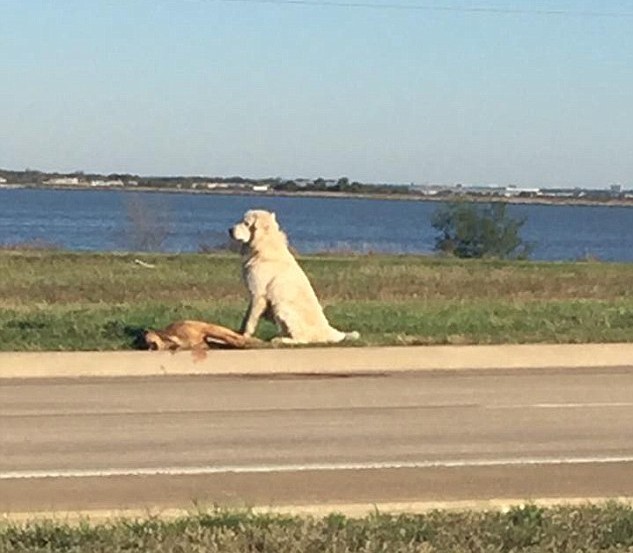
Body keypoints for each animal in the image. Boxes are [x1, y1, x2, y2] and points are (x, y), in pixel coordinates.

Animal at [228, 209, 358, 342]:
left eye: (246, 223)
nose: (230, 230)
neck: (264, 245)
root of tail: (328, 331)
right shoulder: (254, 295)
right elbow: (246, 317)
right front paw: (237, 333)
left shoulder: (258, 294)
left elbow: (250, 320)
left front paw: (244, 336)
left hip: (281, 306)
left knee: (301, 339)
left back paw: (280, 340)